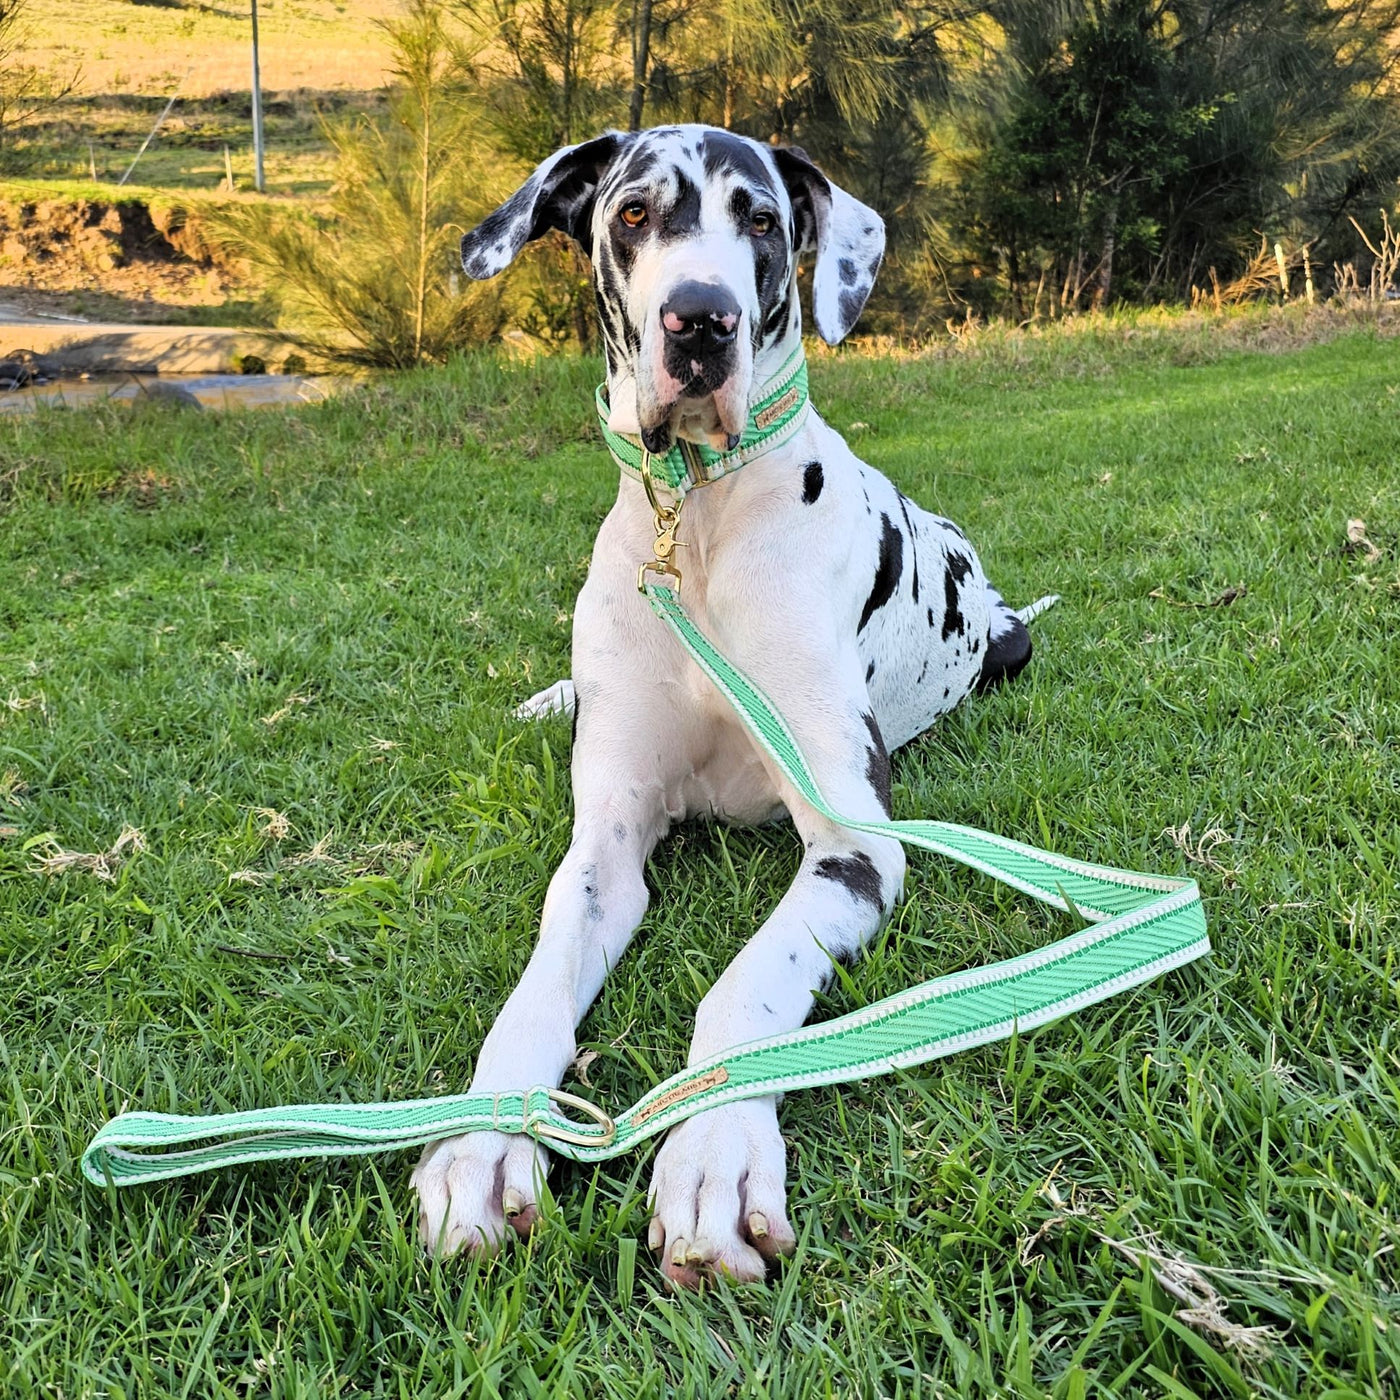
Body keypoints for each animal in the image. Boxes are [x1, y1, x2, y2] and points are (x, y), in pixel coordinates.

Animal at [411, 126, 1052, 1282]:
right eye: (631, 213)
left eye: (759, 218)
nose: (699, 321)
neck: (698, 525)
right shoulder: (604, 843)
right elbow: (537, 986)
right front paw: (484, 1136)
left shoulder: (854, 846)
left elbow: (745, 986)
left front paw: (716, 1155)